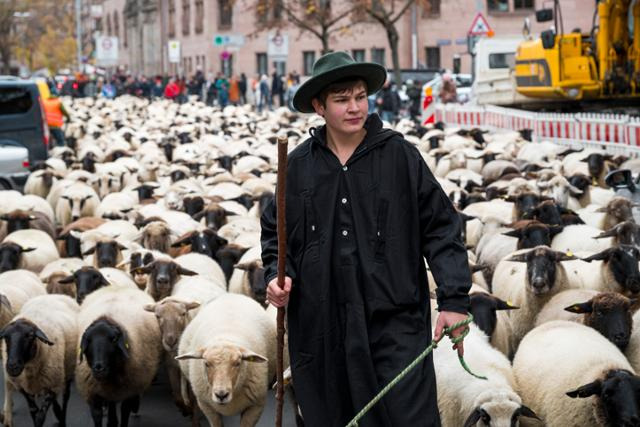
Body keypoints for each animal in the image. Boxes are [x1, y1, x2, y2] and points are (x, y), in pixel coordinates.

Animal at [0, 294, 79, 427]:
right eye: (6, 337)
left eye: (30, 336)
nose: (12, 366)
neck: (29, 372)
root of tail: (53, 294)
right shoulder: (24, 388)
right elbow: (33, 411)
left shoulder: (52, 385)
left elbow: (40, 416)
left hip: (67, 370)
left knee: (65, 397)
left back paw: (62, 417)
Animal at [75, 286, 162, 427]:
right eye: (88, 340)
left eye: (114, 339)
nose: (99, 368)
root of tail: (117, 287)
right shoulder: (93, 393)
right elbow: (98, 416)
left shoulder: (130, 388)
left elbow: (125, 412)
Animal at [176, 294, 276, 427]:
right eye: (206, 363)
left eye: (238, 363)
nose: (221, 395)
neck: (226, 337)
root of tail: (231, 295)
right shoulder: (207, 406)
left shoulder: (256, 407)